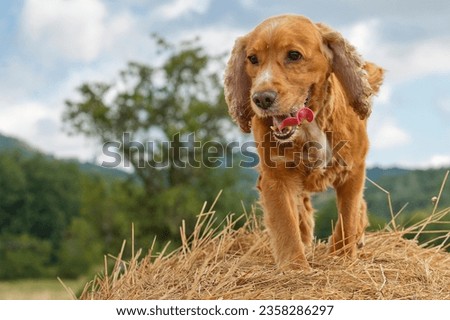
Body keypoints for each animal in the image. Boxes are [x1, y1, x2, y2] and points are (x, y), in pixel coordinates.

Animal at [225, 15, 384, 270]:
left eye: (294, 55)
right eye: (252, 59)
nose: (261, 99)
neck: (309, 125)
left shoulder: (353, 170)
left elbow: (348, 216)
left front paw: (342, 256)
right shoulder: (276, 176)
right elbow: (286, 225)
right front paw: (295, 267)